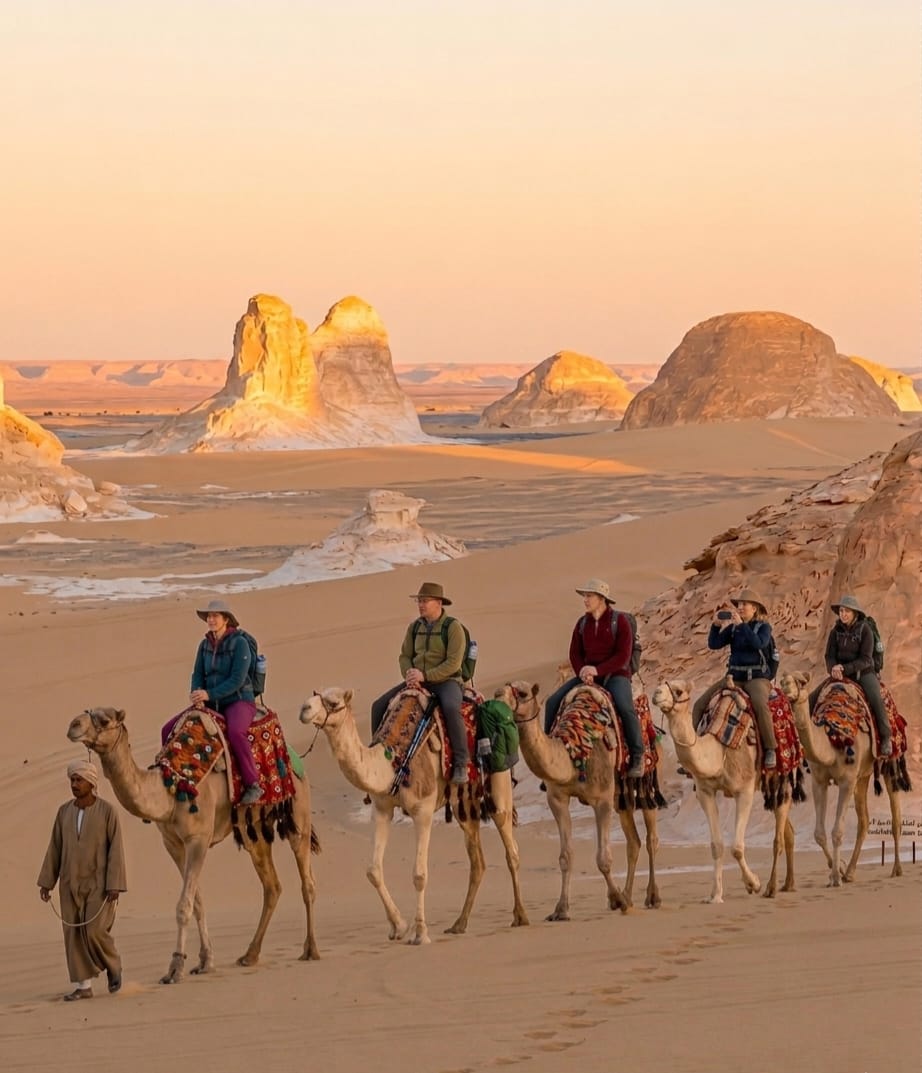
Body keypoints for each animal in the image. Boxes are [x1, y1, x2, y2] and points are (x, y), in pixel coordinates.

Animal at [66, 707, 320, 983]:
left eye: (104, 720)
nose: (73, 725)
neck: (170, 788)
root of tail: (296, 758)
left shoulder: (198, 838)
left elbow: (183, 905)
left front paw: (175, 967)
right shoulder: (173, 844)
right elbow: (197, 902)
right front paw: (205, 961)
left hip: (298, 813)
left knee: (307, 881)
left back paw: (311, 950)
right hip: (252, 832)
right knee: (272, 886)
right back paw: (250, 955)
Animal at [300, 687, 528, 944]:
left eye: (332, 702)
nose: (304, 709)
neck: (392, 763)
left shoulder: (423, 810)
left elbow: (419, 874)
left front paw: (420, 933)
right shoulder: (382, 808)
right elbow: (373, 871)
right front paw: (399, 926)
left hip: (499, 782)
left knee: (511, 847)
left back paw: (520, 916)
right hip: (463, 803)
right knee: (477, 860)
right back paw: (458, 924)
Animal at [497, 680, 662, 920]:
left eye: (522, 693)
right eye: (497, 693)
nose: (498, 705)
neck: (573, 751)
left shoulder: (601, 799)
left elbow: (603, 859)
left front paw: (617, 900)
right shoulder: (557, 799)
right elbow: (566, 856)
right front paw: (561, 909)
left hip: (646, 779)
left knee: (651, 838)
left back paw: (652, 897)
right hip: (619, 796)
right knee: (634, 841)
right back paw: (629, 896)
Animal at [651, 680, 796, 903]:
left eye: (678, 691)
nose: (656, 693)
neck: (719, 750)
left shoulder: (744, 790)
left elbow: (736, 847)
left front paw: (753, 884)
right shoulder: (705, 793)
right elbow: (716, 846)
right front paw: (715, 895)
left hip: (782, 775)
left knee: (778, 836)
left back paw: (771, 887)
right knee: (787, 831)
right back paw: (789, 884)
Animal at [780, 671, 904, 885]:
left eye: (801, 682)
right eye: (782, 680)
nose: (786, 686)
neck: (832, 738)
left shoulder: (847, 781)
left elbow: (837, 831)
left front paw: (836, 878)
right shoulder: (819, 781)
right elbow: (819, 834)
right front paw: (838, 869)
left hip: (889, 763)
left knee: (895, 817)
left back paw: (896, 869)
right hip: (862, 776)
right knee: (864, 820)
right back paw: (851, 872)